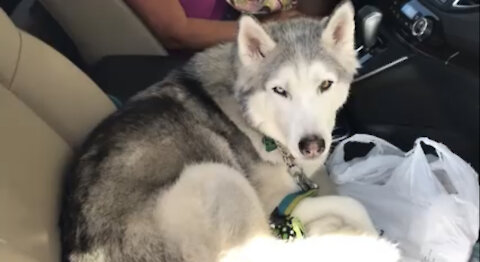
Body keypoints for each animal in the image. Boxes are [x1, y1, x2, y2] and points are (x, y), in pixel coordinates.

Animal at [62, 2, 400, 262]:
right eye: (280, 90)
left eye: (325, 85)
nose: (312, 146)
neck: (257, 123)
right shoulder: (273, 202)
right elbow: (352, 203)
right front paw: (370, 234)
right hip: (215, 176)